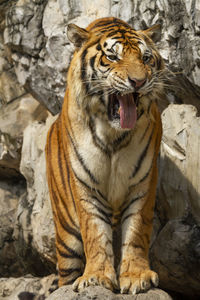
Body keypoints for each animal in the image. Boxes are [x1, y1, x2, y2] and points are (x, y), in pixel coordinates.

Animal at [45, 17, 164, 296]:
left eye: (145, 58)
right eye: (112, 57)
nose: (139, 81)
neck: (113, 135)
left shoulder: (143, 183)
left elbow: (137, 231)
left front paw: (137, 276)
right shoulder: (86, 186)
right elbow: (95, 233)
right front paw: (97, 277)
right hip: (66, 237)